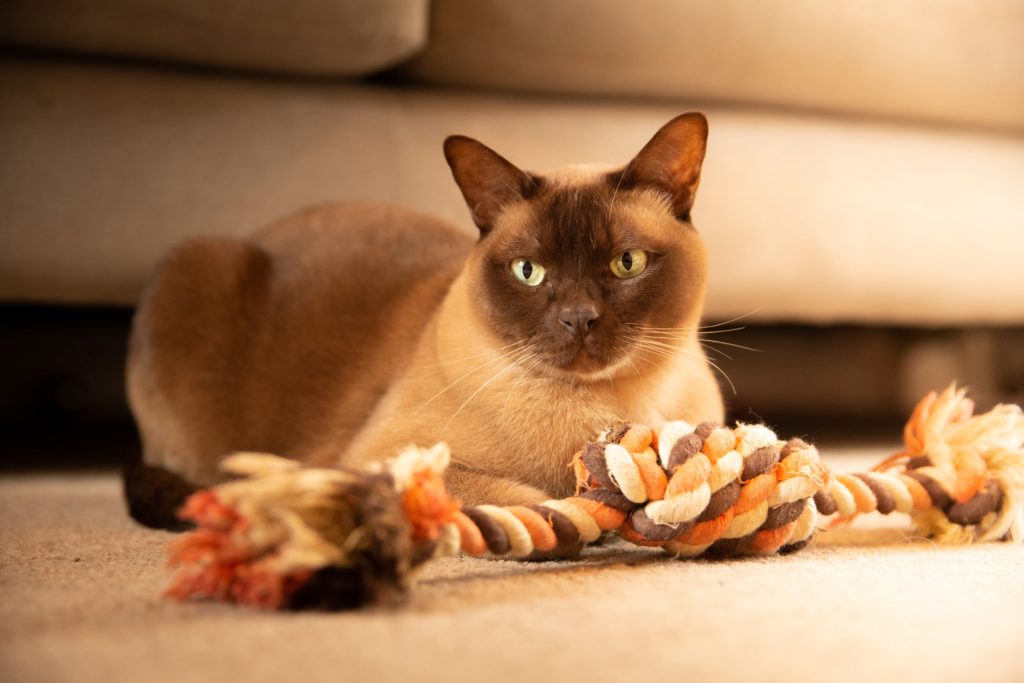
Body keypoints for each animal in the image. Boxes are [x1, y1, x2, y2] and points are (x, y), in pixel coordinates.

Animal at [123, 112, 724, 528]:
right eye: (529, 272)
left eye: (627, 263)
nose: (579, 320)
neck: (604, 410)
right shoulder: (376, 463)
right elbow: (528, 498)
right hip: (194, 266)